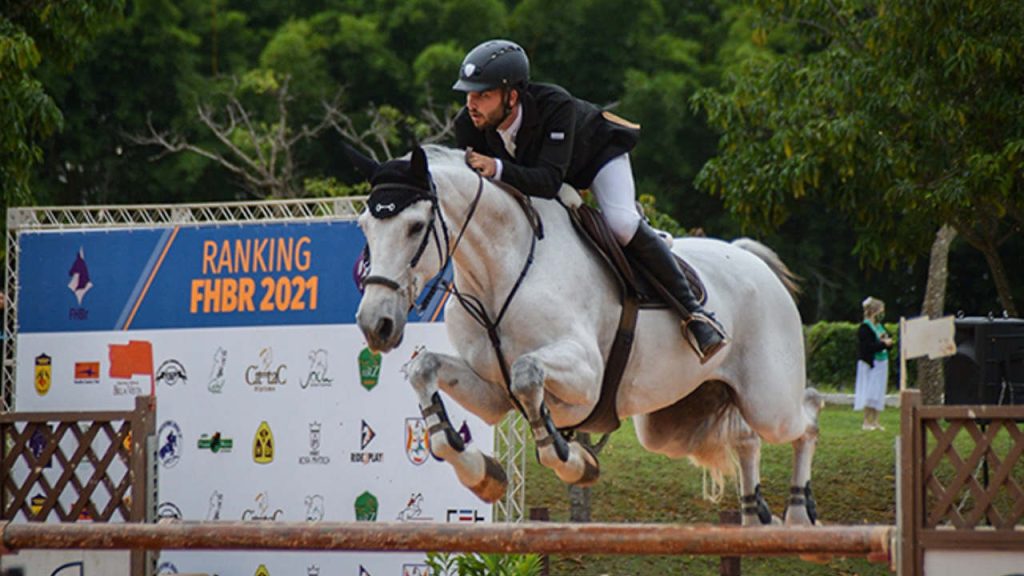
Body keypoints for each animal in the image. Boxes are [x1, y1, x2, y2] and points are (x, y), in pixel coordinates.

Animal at [352, 144, 823, 524]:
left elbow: (528, 376)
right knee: (745, 438)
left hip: (769, 400)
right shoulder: (491, 394)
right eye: (364, 227)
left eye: (415, 226)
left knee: (806, 417)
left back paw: (799, 514)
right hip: (672, 427)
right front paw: (481, 473)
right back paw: (754, 516)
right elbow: (424, 369)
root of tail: (753, 260)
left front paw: (574, 459)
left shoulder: (587, 376)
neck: (500, 276)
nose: (376, 325)